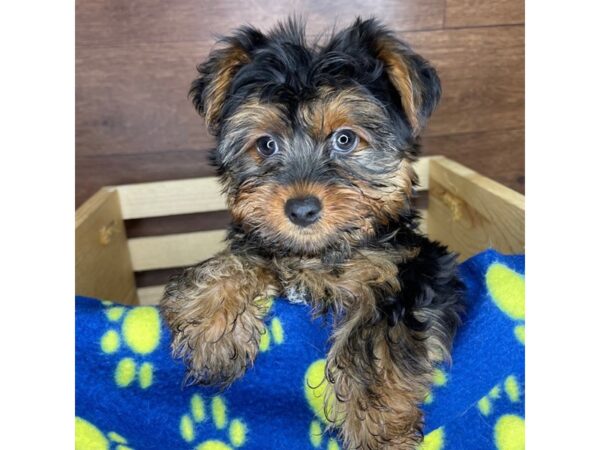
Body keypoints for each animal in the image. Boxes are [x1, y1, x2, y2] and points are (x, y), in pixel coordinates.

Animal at [161, 18, 464, 450]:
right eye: (266, 144)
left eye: (345, 139)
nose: (301, 209)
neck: (320, 253)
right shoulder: (266, 241)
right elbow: (247, 254)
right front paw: (212, 325)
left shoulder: (409, 268)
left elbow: (373, 340)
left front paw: (380, 434)